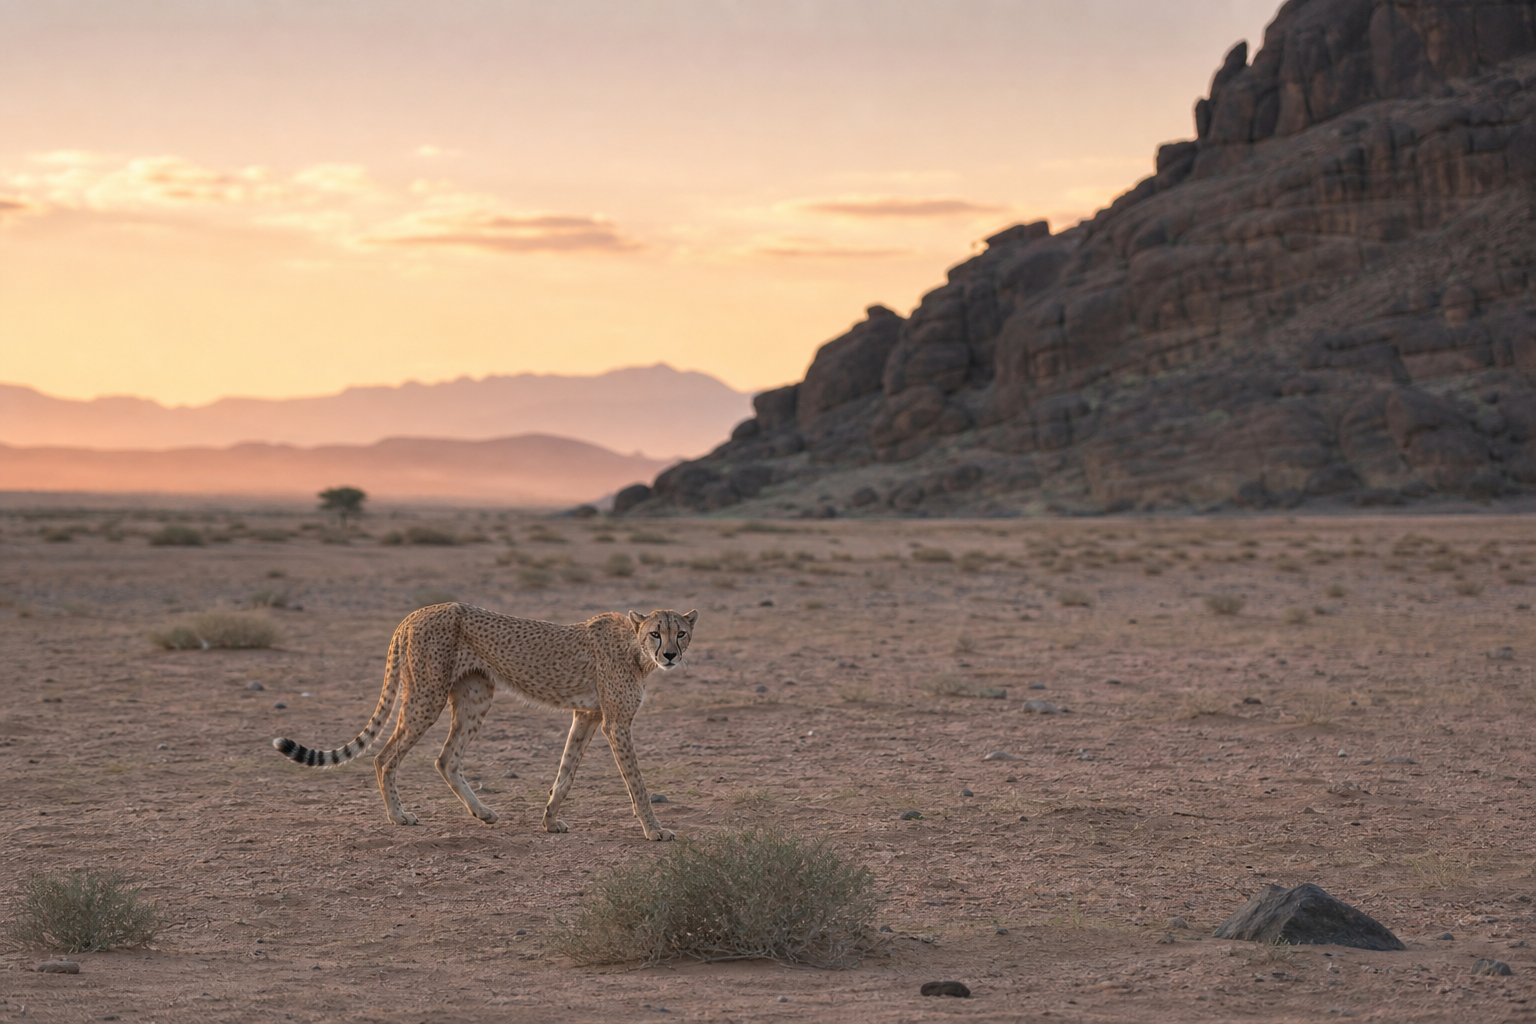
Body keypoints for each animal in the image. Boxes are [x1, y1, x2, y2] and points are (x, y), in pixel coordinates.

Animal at [272, 603, 696, 841]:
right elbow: (637, 783)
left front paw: (550, 820)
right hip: (426, 696)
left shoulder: (587, 715)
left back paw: (483, 813)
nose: (671, 655)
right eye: (656, 633)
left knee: (445, 759)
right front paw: (655, 830)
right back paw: (398, 816)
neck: (635, 647)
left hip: (475, 698)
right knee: (384, 756)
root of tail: (416, 612)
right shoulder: (616, 723)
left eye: (682, 633)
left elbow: (566, 772)